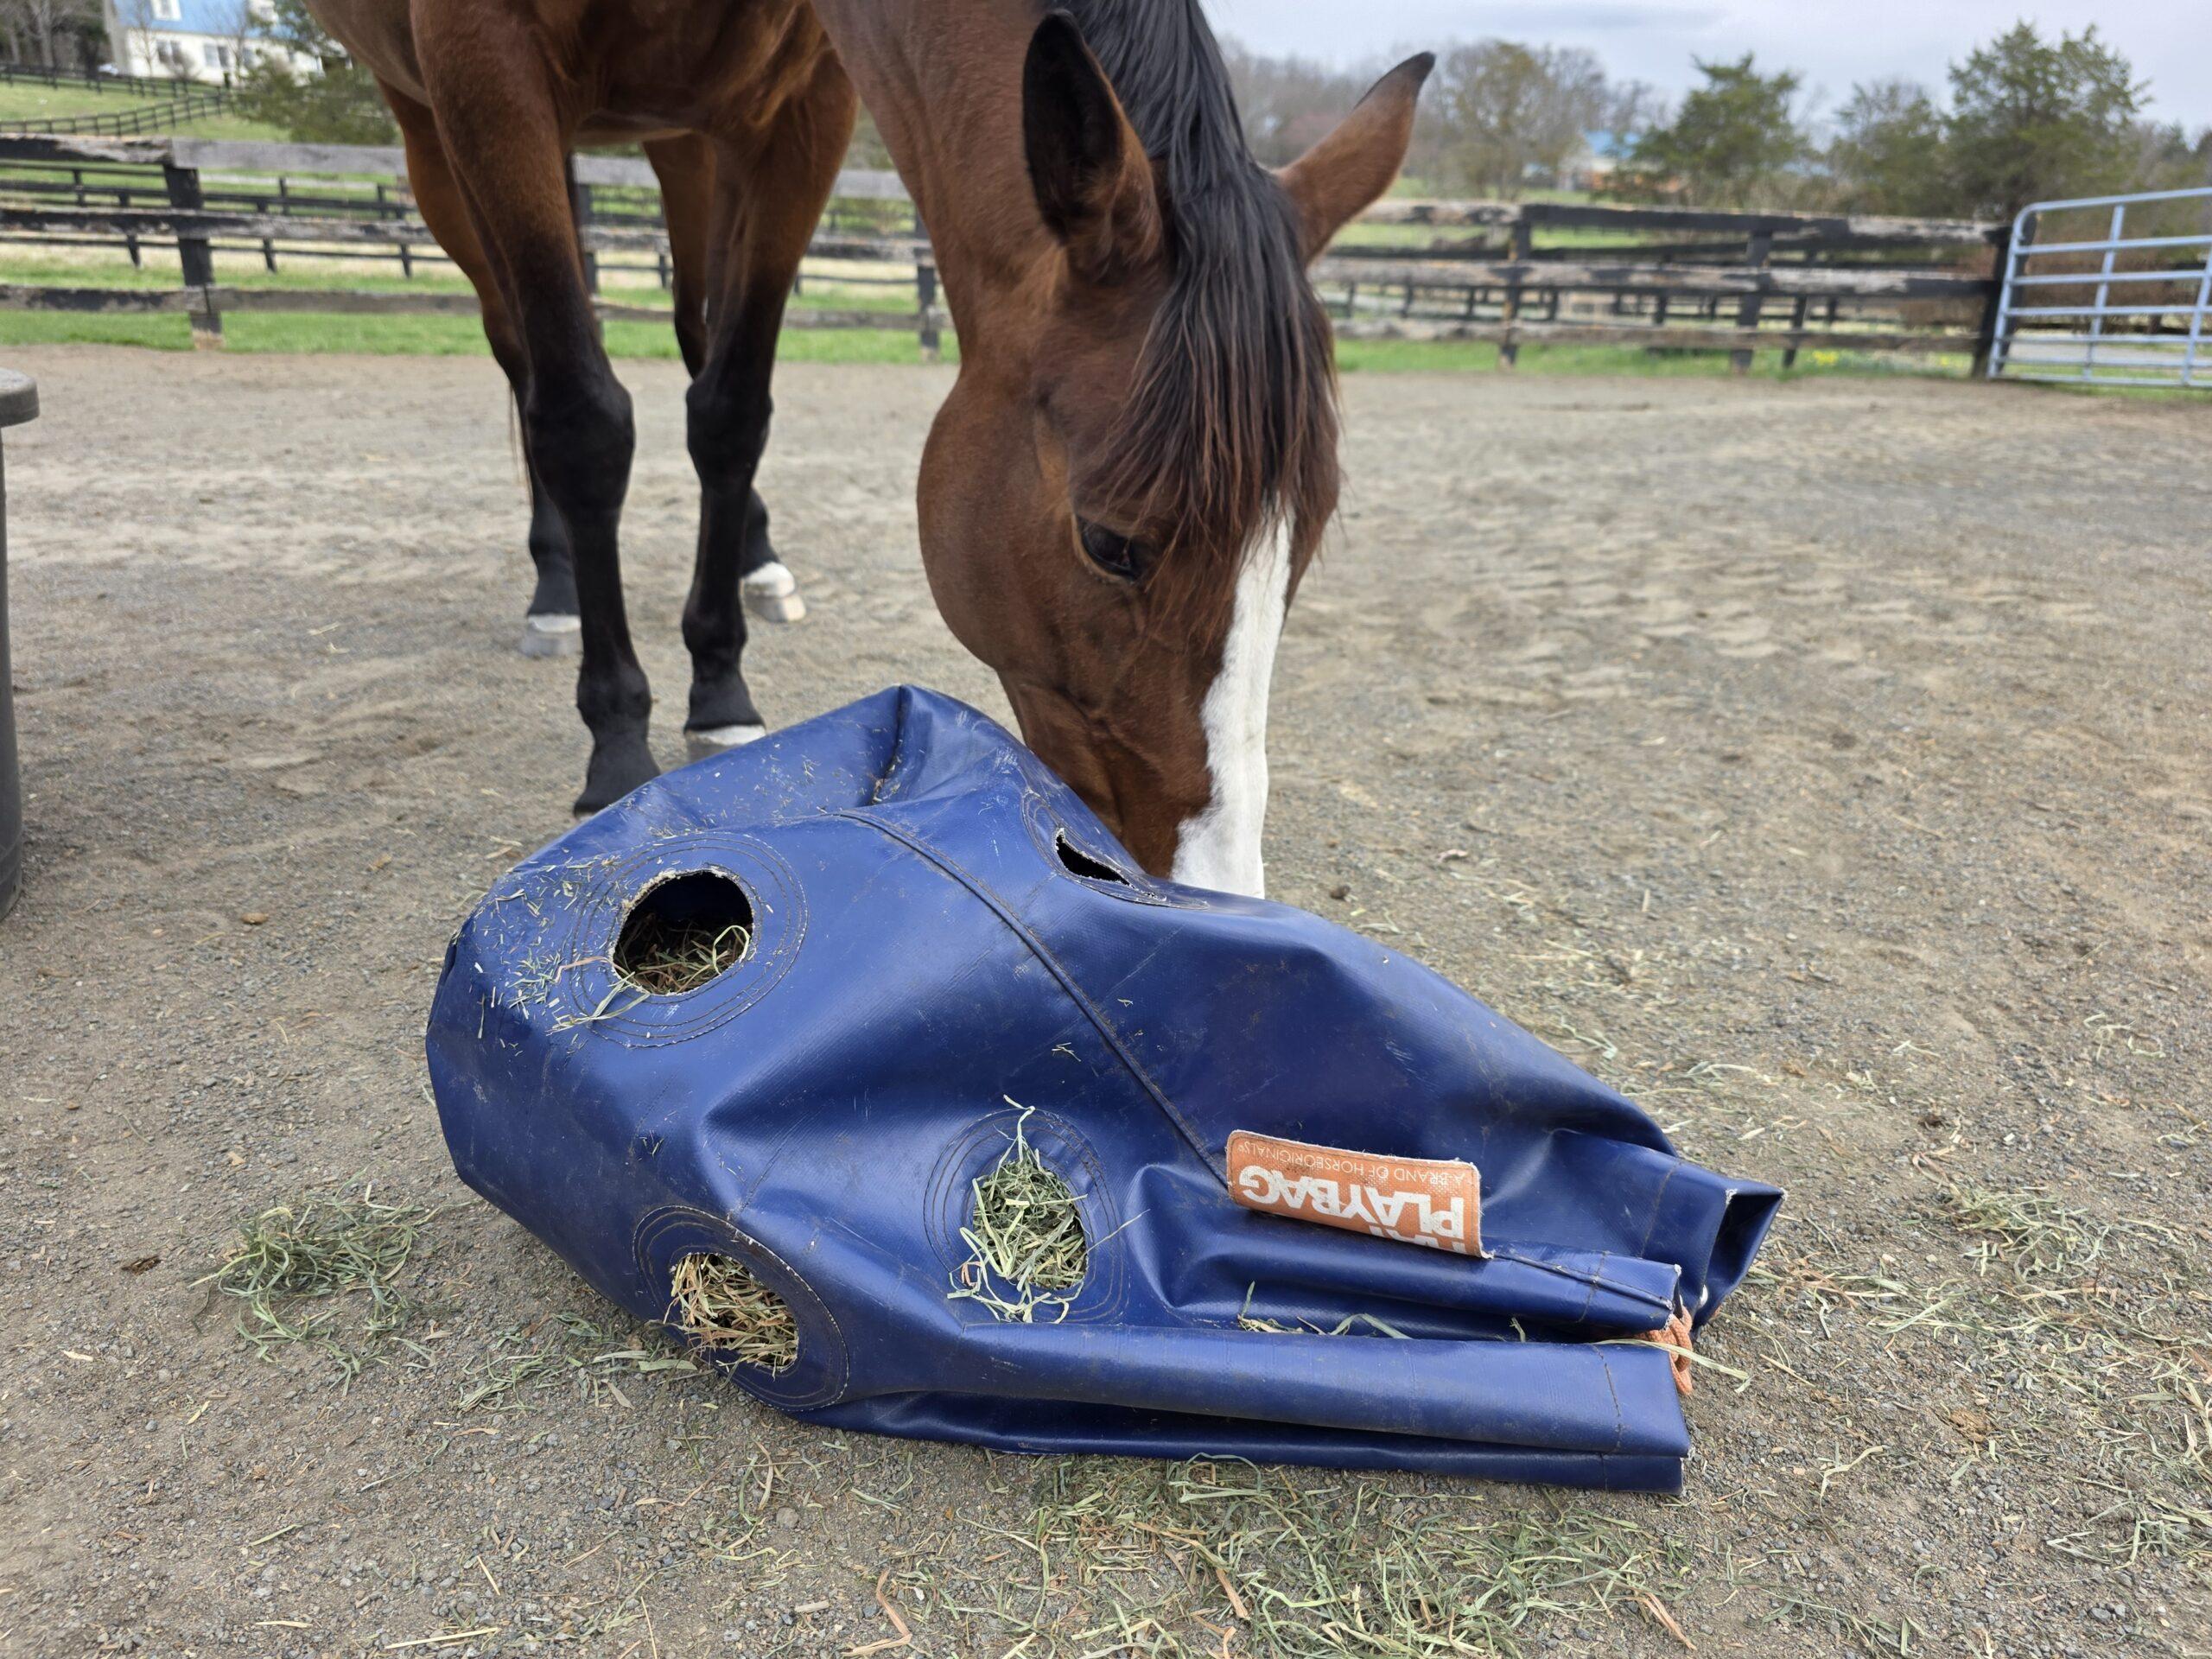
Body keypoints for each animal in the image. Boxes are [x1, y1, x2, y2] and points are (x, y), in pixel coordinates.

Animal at [305, 0, 1429, 896]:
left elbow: (732, 407)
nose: (1214, 885)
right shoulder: (483, 65)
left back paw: (754, 566)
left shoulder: (799, 108)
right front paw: (620, 747)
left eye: (1302, 543)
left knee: (695, 344)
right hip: (430, 127)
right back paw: (553, 586)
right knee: (521, 355)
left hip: (683, 138)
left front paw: (720, 687)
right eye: (1109, 544)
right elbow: (583, 417)